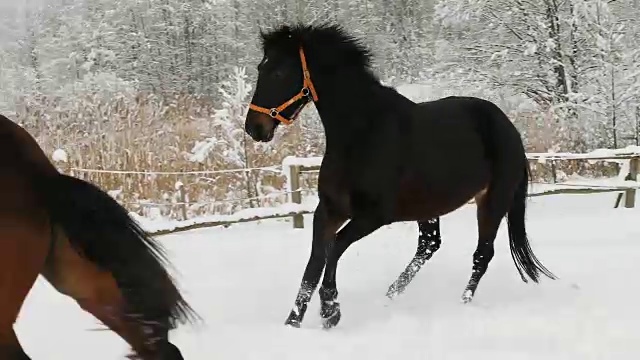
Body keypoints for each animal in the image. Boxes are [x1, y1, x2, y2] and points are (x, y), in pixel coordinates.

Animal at [245, 23, 556, 330]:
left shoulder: (374, 216)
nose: (254, 128)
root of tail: (509, 127)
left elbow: (333, 249)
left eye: (279, 72)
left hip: (493, 201)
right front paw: (292, 323)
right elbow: (313, 263)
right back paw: (390, 295)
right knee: (429, 245)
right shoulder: (329, 210)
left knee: (481, 255)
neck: (362, 134)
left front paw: (330, 310)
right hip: (429, 206)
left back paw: (462, 302)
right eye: (261, 67)